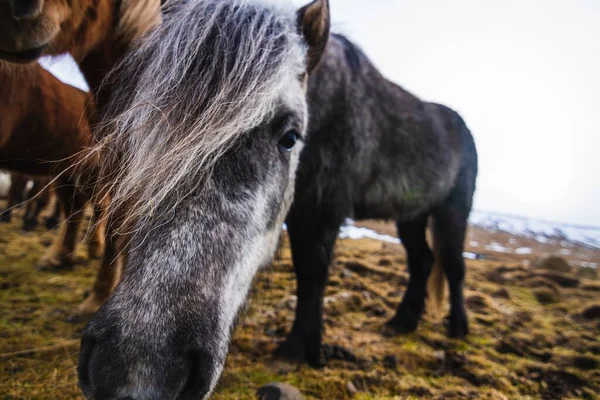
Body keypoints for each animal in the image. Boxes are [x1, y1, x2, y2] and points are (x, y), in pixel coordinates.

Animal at [276, 33, 478, 366]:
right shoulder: (299, 210)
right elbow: (305, 271)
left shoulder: (322, 209)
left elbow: (312, 272)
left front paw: (299, 350)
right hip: (411, 216)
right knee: (423, 260)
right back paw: (401, 322)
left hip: (453, 211)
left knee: (453, 265)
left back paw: (458, 327)